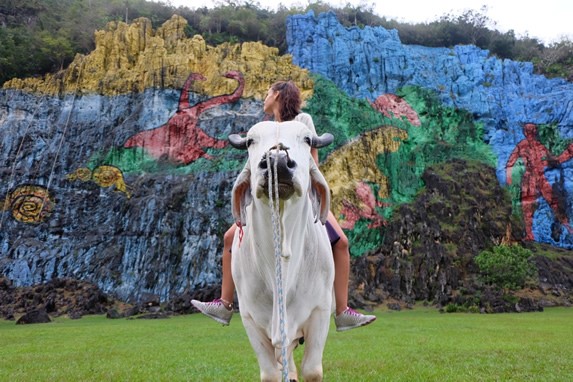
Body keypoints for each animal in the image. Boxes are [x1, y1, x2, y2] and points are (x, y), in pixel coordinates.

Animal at [229, 121, 336, 382]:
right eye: (250, 141)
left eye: (307, 139)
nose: (277, 161)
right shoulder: (249, 318)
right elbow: (270, 373)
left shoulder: (320, 311)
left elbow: (313, 370)